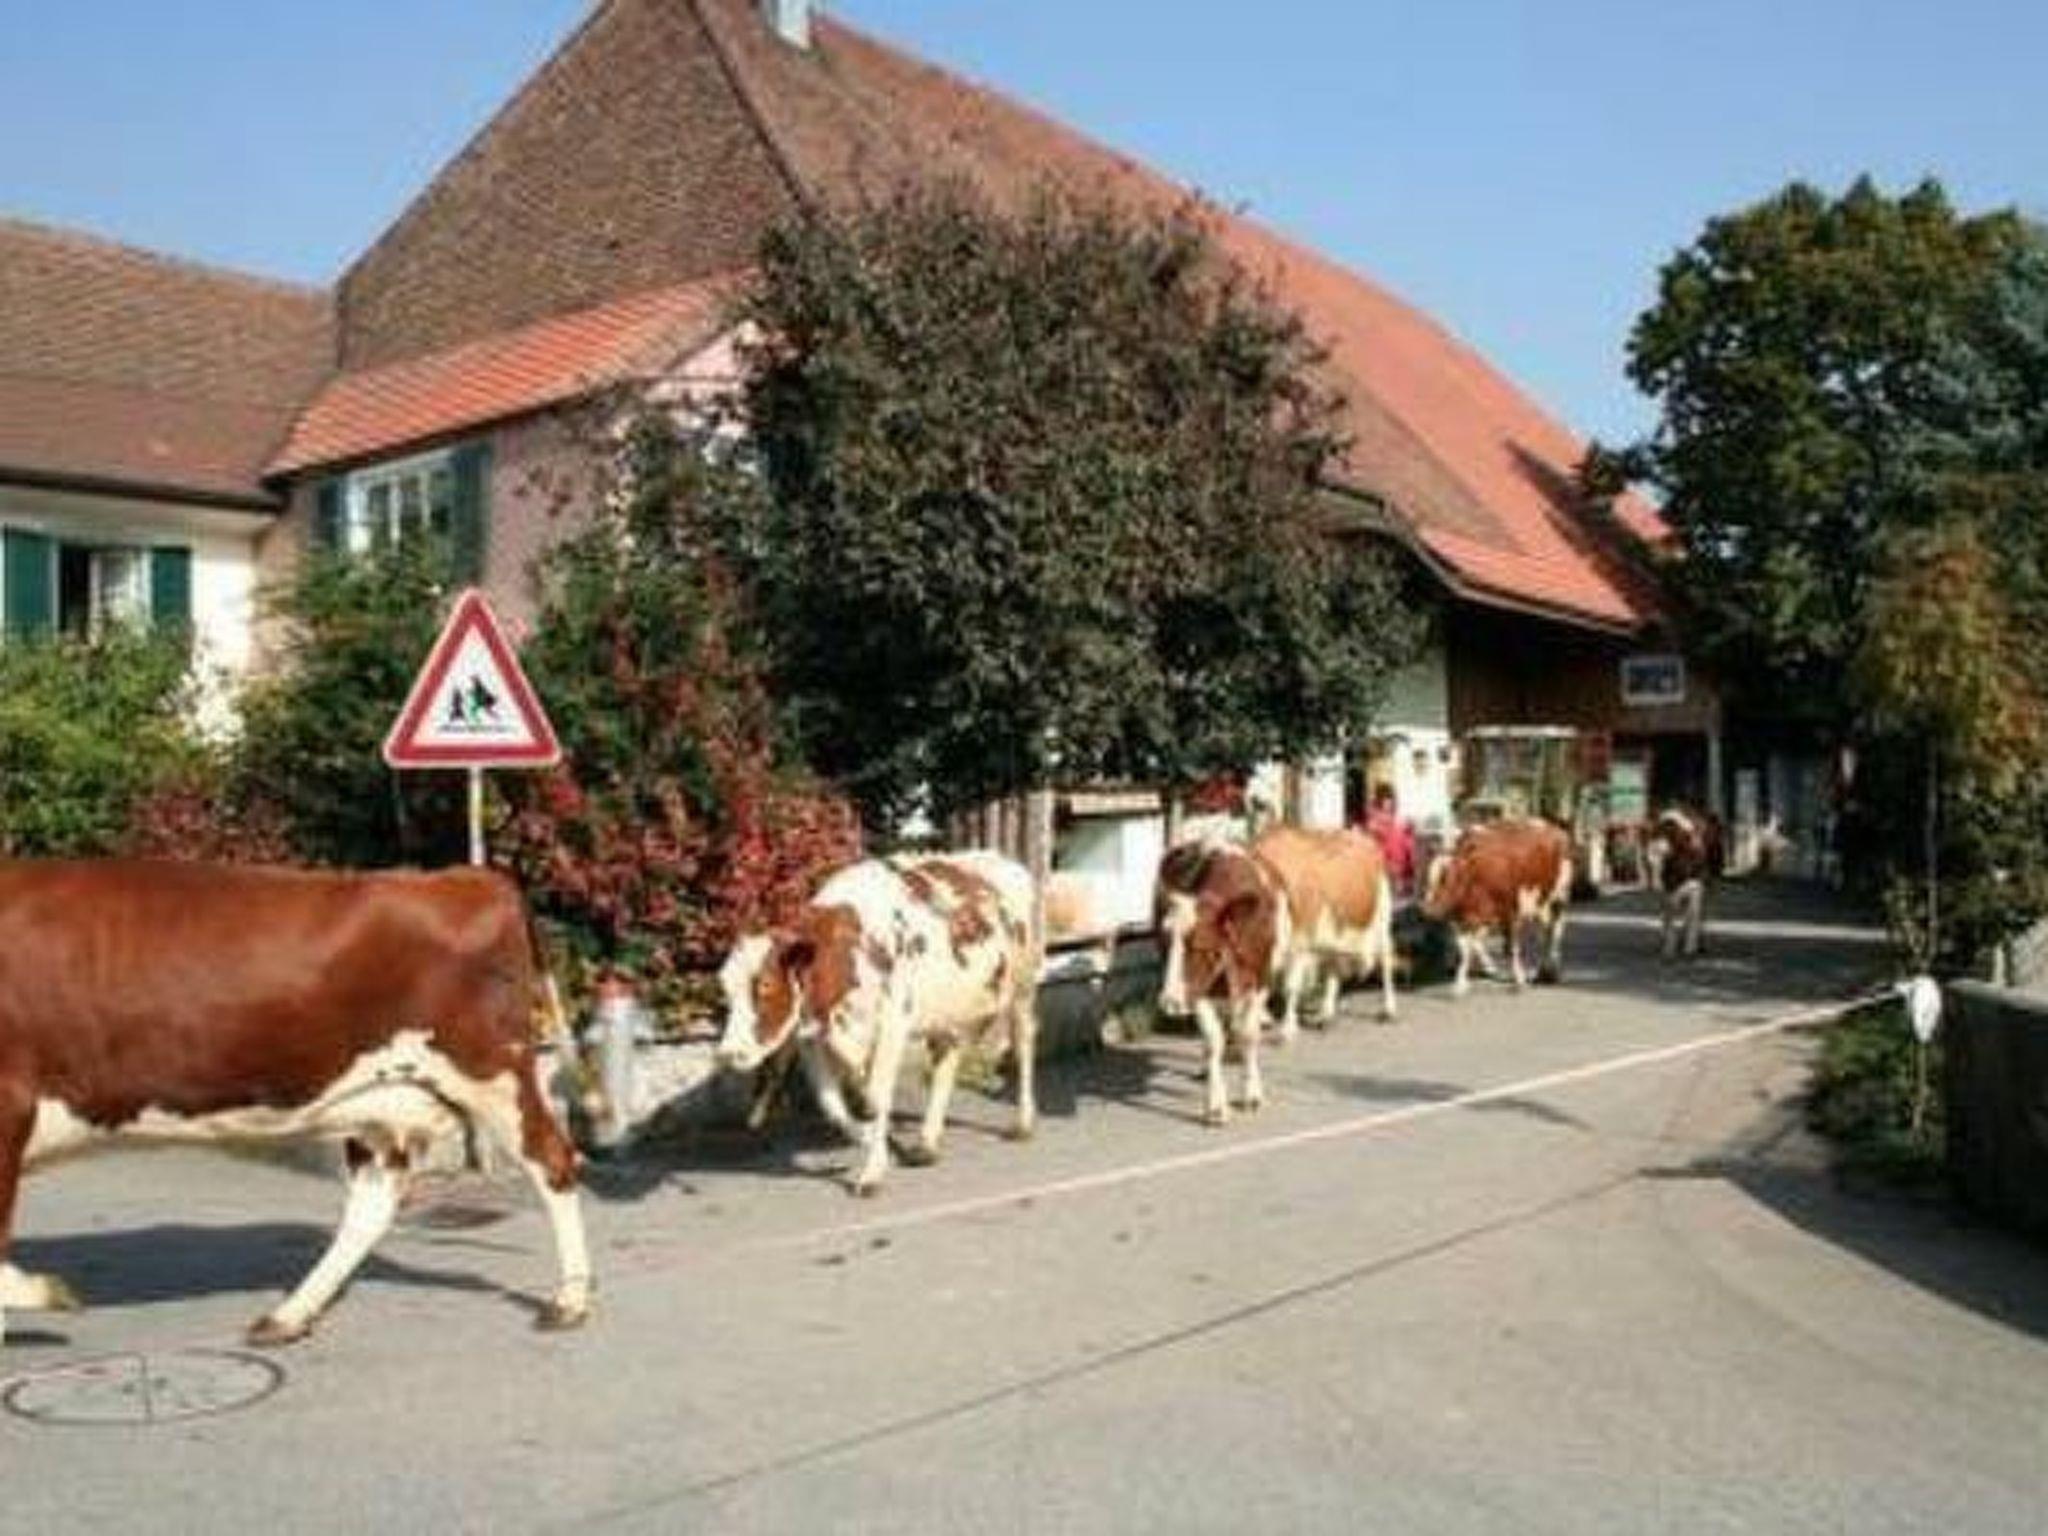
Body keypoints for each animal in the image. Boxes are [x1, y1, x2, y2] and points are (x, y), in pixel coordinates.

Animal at [0, 861, 592, 1349]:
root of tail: (465, 877)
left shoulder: (10, 1107)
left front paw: (44, 1291)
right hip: (384, 1105)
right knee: (374, 1203)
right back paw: (289, 1315)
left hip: (490, 1072)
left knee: (552, 1160)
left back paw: (570, 1301)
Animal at [714, 851, 1039, 1196]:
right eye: (725, 988)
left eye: (765, 986)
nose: (728, 1053)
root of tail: (1001, 859)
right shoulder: (814, 1041)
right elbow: (833, 1105)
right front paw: (869, 1139)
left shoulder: (892, 1025)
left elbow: (876, 1095)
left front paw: (872, 1171)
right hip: (947, 1009)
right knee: (946, 1060)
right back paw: (926, 1143)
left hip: (1022, 988)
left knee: (1023, 1047)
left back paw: (1022, 1123)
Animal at [1156, 826, 1398, 1126]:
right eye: (1164, 941)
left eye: (1201, 945)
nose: (1170, 1002)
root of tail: (1352, 833)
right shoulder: (1201, 986)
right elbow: (1213, 1041)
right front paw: (1215, 1105)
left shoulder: (1260, 976)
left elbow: (1249, 1032)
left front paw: (1251, 1094)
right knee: (1331, 967)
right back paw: (1325, 1014)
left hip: (1378, 921)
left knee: (1384, 960)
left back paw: (1386, 1009)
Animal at [1422, 818, 1574, 995]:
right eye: (1427, 877)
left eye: (1450, 876)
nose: (1428, 909)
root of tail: (1552, 827)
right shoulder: (1463, 918)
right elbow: (1464, 950)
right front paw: (1460, 986)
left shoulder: (1511, 911)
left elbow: (1511, 948)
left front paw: (1519, 981)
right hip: (1540, 903)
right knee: (1545, 932)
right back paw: (1542, 971)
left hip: (1558, 898)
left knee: (1554, 932)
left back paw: (1550, 971)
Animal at [1647, 808, 1723, 960]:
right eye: (1649, 862)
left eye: (1666, 858)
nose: (1656, 886)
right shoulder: (1669, 888)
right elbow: (1669, 913)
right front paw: (1669, 948)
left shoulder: (1696, 882)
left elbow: (1692, 912)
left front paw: (1690, 947)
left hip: (1710, 879)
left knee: (1697, 911)